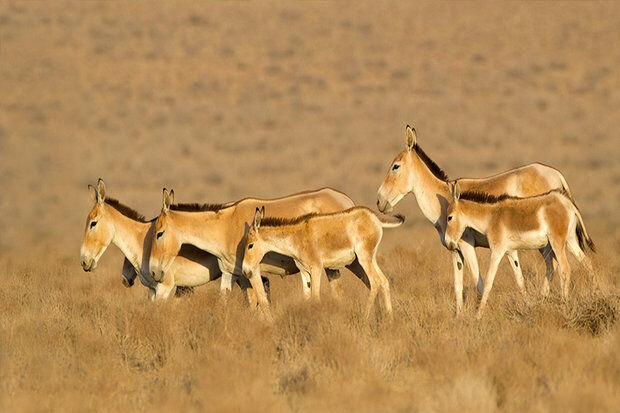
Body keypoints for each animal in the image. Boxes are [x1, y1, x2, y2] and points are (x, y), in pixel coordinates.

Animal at [147, 187, 356, 308]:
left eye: (159, 233)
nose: (154, 272)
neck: (226, 227)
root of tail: (347, 200)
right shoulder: (230, 272)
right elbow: (224, 302)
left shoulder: (252, 270)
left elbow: (261, 301)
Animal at [240, 208, 404, 318]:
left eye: (250, 246)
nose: (245, 271)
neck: (297, 238)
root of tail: (373, 217)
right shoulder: (304, 271)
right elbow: (307, 297)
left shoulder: (316, 268)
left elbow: (315, 297)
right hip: (371, 257)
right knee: (384, 281)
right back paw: (390, 319)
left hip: (363, 257)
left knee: (375, 282)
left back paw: (365, 317)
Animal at [378, 124, 576, 314]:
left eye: (395, 166)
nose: (379, 201)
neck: (444, 198)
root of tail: (557, 175)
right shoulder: (454, 250)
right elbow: (458, 286)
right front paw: (459, 317)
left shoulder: (466, 245)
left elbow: (479, 283)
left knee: (554, 265)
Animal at [444, 181, 592, 318]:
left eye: (449, 218)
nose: (448, 243)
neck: (491, 217)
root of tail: (566, 203)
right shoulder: (510, 252)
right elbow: (520, 279)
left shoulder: (497, 251)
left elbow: (488, 282)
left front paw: (478, 315)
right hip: (570, 241)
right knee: (587, 263)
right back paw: (594, 291)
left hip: (557, 242)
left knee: (566, 269)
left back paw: (565, 304)